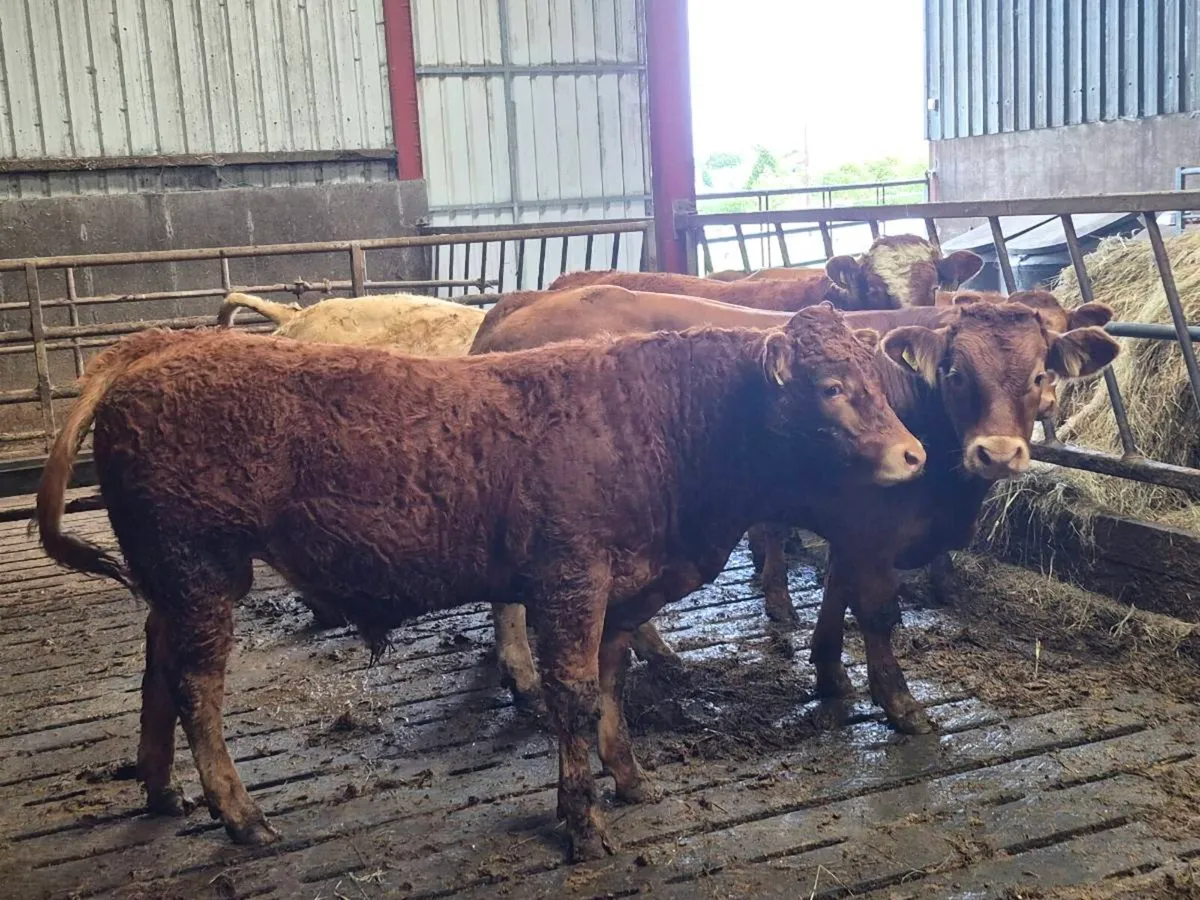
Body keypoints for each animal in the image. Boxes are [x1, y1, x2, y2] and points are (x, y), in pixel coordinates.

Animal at [36, 308, 925, 861]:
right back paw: (241, 816)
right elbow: (574, 694)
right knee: (197, 687)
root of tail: (158, 344)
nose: (915, 455)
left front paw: (632, 780)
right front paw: (582, 824)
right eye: (831, 387)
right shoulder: (570, 579)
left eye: (875, 380)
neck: (662, 423)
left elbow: (612, 683)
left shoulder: (620, 588)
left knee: (157, 666)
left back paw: (162, 791)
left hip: (171, 577)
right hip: (202, 568)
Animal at [470, 287, 1120, 733]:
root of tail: (522, 304)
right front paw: (899, 703)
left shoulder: (851, 527)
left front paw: (831, 672)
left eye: (1041, 373)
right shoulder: (871, 528)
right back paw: (521, 672)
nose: (998, 452)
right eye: (957, 374)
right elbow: (875, 613)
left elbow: (836, 593)